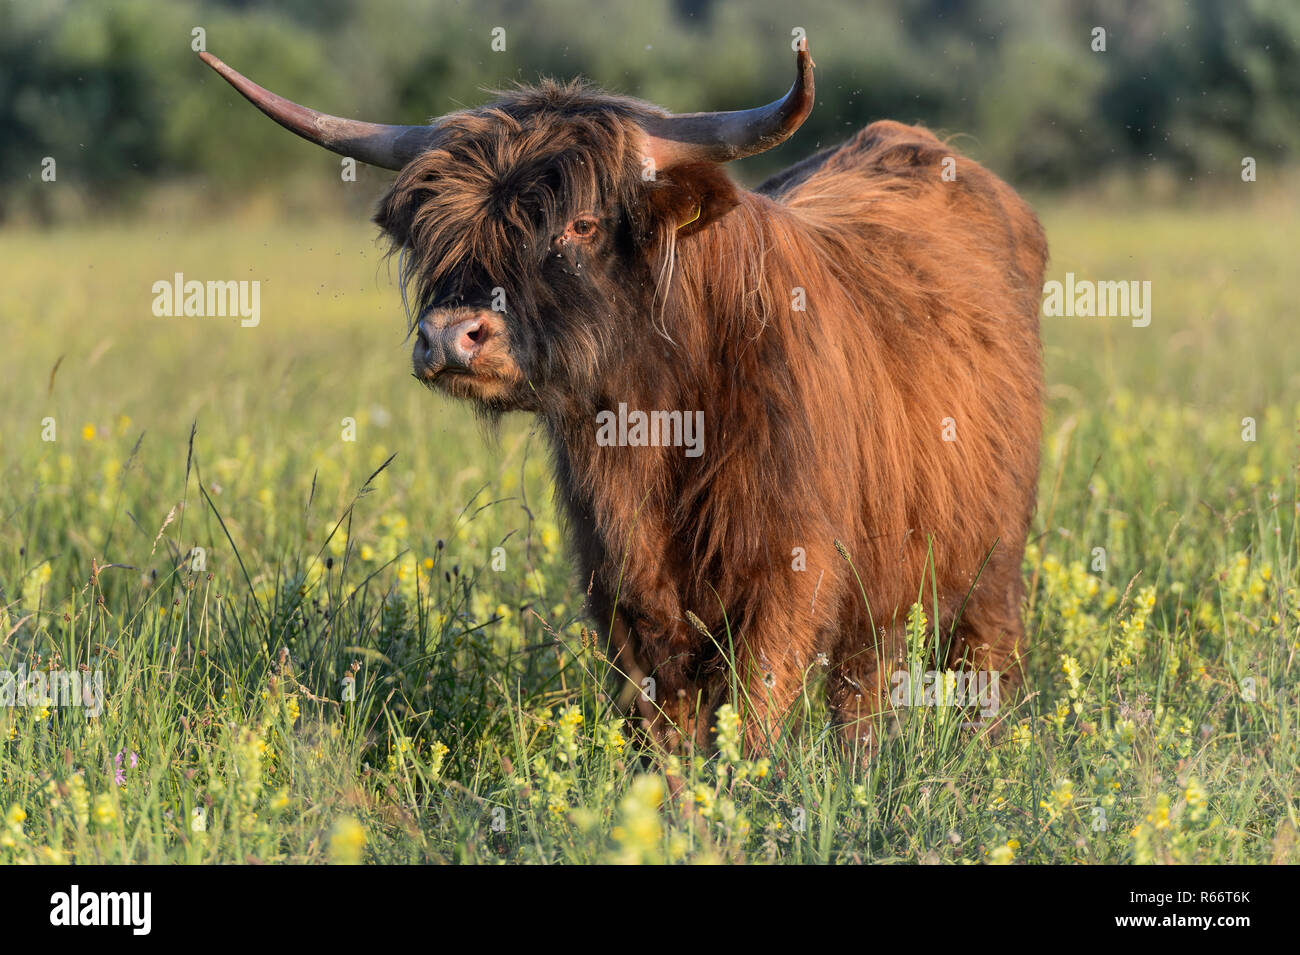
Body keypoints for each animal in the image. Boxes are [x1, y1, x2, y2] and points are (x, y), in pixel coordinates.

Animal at [201, 41, 1046, 755]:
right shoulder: (620, 577)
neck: (659, 427)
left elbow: (754, 708)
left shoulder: (790, 566)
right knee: (863, 689)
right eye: (435, 230)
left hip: (991, 561)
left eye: (579, 224)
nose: (449, 336)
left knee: (977, 665)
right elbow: (658, 721)